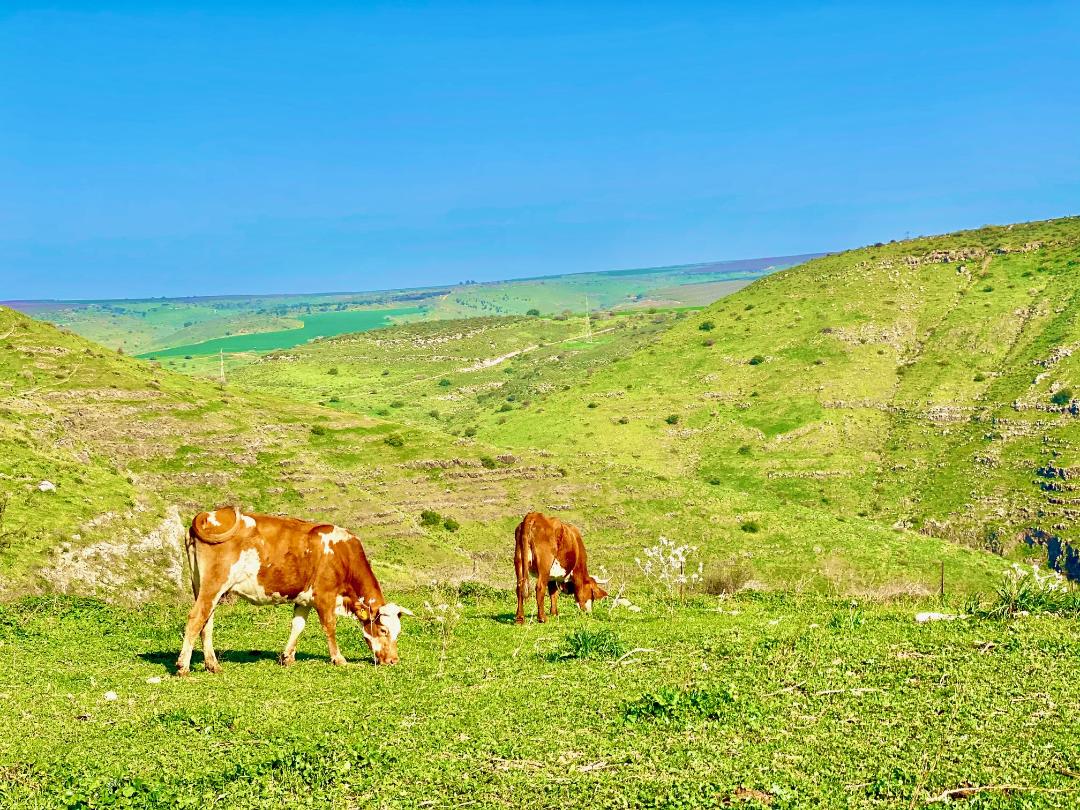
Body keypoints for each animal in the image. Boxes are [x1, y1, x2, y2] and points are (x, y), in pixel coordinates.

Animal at [177, 507, 412, 678]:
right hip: (214, 583)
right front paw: (339, 659)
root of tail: (208, 514)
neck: (343, 555)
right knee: (196, 618)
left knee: (207, 622)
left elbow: (297, 625)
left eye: (398, 632)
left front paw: (287, 657)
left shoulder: (304, 598)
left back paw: (212, 665)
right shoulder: (325, 596)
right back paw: (183, 667)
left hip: (201, 585)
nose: (393, 660)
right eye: (383, 630)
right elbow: (330, 627)